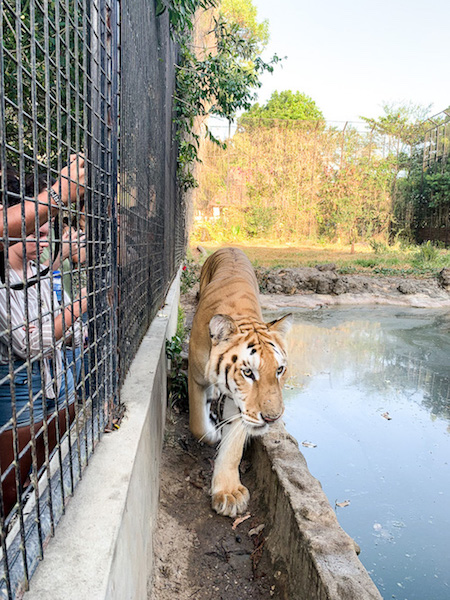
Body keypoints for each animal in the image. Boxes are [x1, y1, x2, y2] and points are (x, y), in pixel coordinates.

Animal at [187, 246, 290, 516]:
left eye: (279, 370)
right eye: (248, 373)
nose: (273, 419)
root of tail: (230, 247)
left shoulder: (242, 404)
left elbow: (233, 447)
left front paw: (228, 492)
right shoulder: (195, 377)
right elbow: (197, 424)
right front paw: (212, 434)